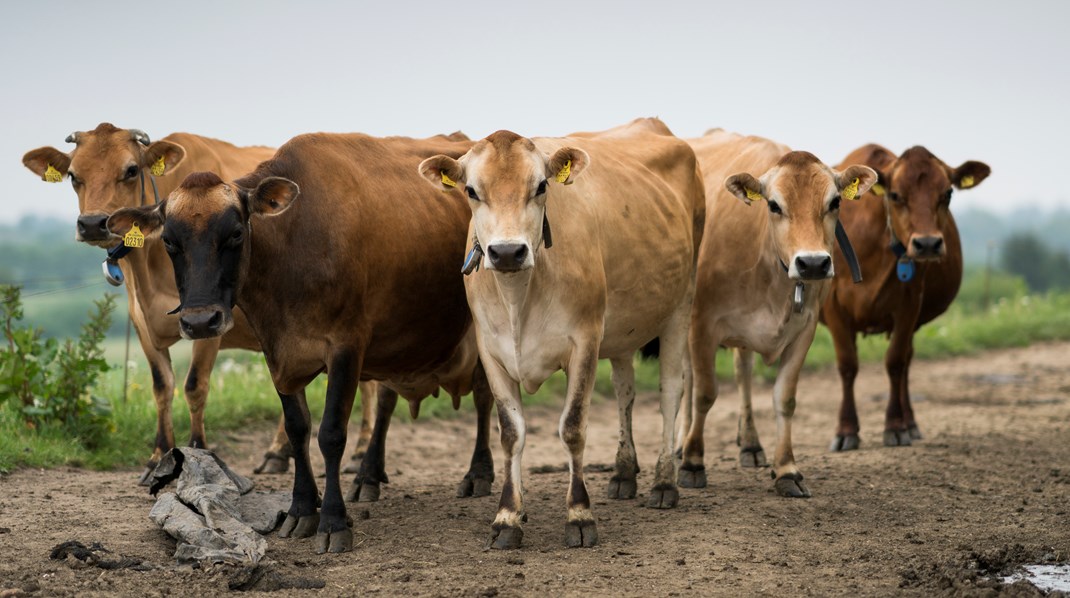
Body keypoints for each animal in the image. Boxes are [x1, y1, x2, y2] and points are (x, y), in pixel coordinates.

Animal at [19, 123, 380, 481]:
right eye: (73, 175)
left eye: (131, 170)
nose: (93, 224)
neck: (148, 271)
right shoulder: (142, 323)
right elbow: (162, 386)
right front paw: (157, 457)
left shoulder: (211, 319)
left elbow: (195, 385)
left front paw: (199, 451)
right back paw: (278, 453)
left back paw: (358, 453)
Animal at [103, 132, 490, 556]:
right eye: (171, 242)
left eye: (236, 233)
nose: (200, 320)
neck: (292, 252)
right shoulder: (279, 354)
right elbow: (298, 428)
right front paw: (302, 509)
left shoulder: (346, 347)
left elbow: (331, 434)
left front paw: (333, 521)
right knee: (389, 400)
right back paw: (368, 477)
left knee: (486, 397)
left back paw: (479, 473)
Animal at [419, 118, 710, 552]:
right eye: (471, 191)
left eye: (541, 185)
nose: (507, 252)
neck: (519, 298)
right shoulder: (491, 351)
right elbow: (512, 433)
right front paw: (508, 516)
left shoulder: (584, 342)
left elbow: (572, 427)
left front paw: (579, 515)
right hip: (622, 326)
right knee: (625, 391)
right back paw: (624, 473)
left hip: (680, 305)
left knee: (671, 391)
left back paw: (664, 482)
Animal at [676, 129, 877, 496]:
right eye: (773, 205)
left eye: (835, 202)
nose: (812, 263)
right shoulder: (701, 326)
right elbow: (704, 394)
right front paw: (692, 462)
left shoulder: (805, 330)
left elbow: (785, 399)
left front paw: (786, 469)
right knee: (687, 378)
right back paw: (681, 444)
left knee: (743, 372)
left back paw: (750, 444)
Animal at [817, 146, 992, 449]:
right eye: (896, 195)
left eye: (947, 193)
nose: (927, 244)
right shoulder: (834, 306)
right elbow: (847, 365)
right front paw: (846, 430)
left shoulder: (909, 304)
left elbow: (895, 362)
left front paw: (896, 425)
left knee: (907, 361)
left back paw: (910, 422)